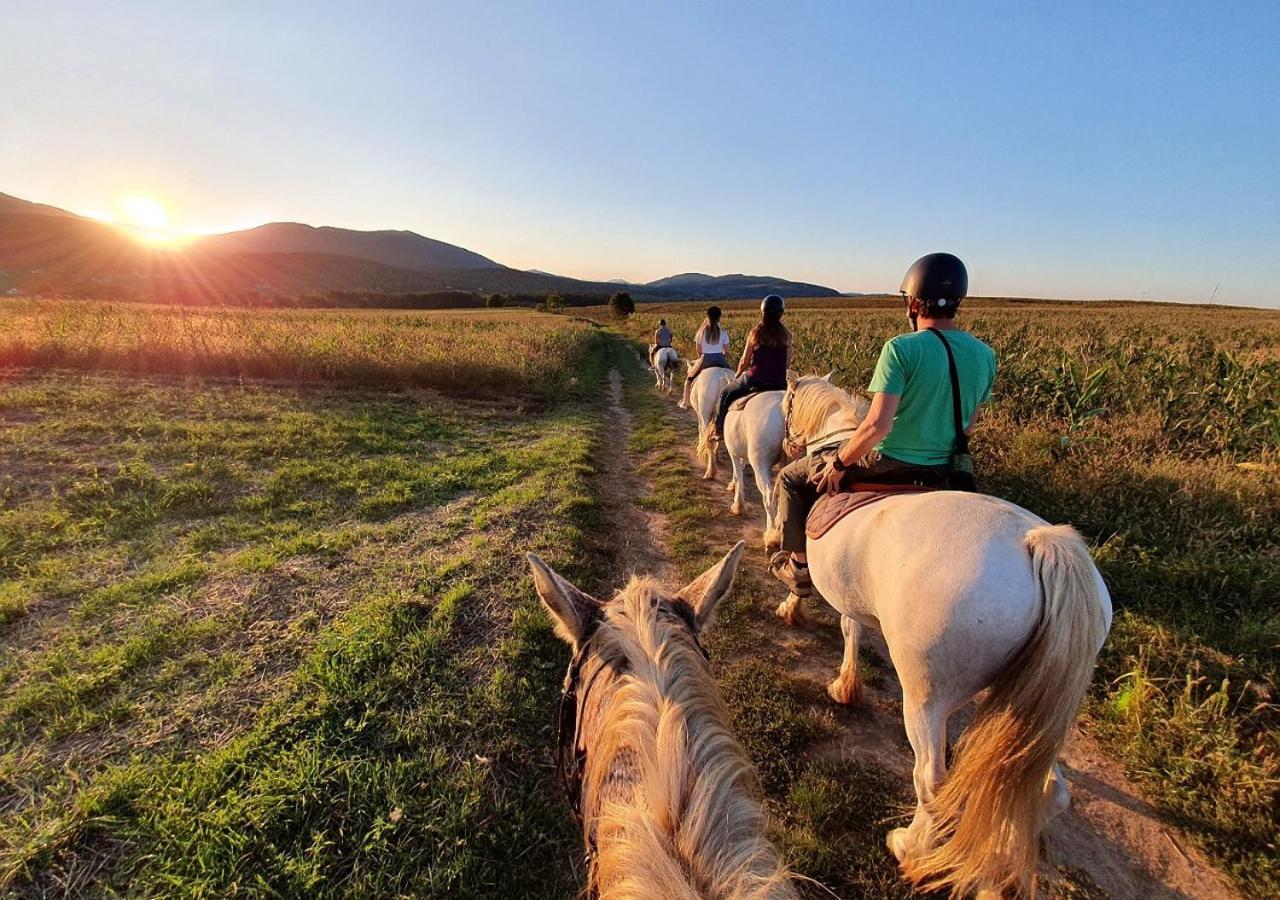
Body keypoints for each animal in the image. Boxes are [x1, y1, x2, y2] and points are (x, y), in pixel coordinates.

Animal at [778, 373, 1111, 900]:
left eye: (787, 404)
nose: (787, 442)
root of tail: (1038, 544)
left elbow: (828, 608)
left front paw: (794, 610)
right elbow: (852, 629)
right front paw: (846, 685)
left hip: (928, 696)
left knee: (931, 778)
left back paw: (910, 848)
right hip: (1024, 706)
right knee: (1045, 792)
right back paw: (996, 874)